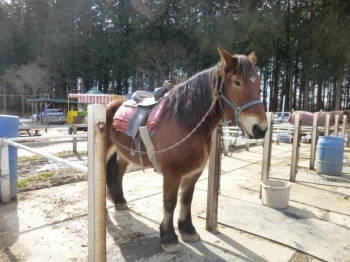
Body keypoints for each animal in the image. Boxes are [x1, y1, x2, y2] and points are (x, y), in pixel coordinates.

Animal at [105, 47, 266, 254]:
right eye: (237, 82)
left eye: (259, 82)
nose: (260, 128)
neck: (185, 122)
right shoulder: (172, 174)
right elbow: (170, 202)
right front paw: (168, 238)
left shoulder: (194, 172)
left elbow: (186, 199)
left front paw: (187, 230)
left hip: (125, 153)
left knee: (118, 172)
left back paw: (119, 201)